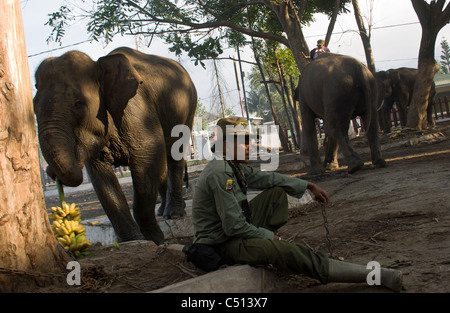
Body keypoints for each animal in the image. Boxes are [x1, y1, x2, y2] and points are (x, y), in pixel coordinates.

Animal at [32, 46, 198, 243]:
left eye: (78, 104)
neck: (99, 65)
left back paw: (173, 214)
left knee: (174, 154)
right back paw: (161, 211)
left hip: (188, 109)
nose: (50, 172)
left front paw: (155, 239)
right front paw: (130, 240)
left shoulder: (137, 112)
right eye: (34, 106)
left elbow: (147, 155)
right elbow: (100, 176)